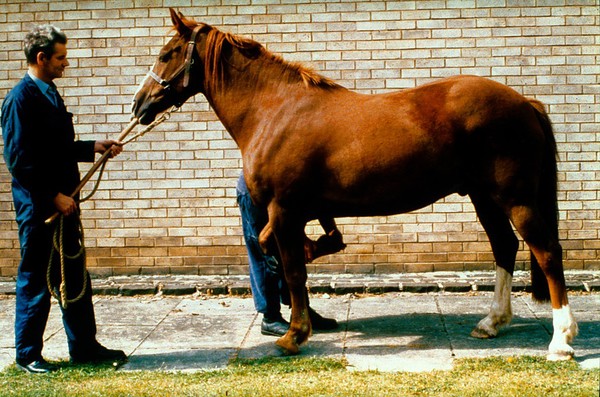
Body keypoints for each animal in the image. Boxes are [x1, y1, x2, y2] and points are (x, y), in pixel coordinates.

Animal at [132, 8, 576, 358]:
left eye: (166, 54)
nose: (139, 105)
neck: (274, 110)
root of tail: (525, 103)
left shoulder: (285, 209)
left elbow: (293, 270)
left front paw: (295, 335)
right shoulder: (291, 215)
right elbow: (279, 252)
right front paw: (312, 271)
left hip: (516, 198)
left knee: (547, 253)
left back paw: (561, 341)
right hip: (485, 197)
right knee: (505, 247)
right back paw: (492, 322)